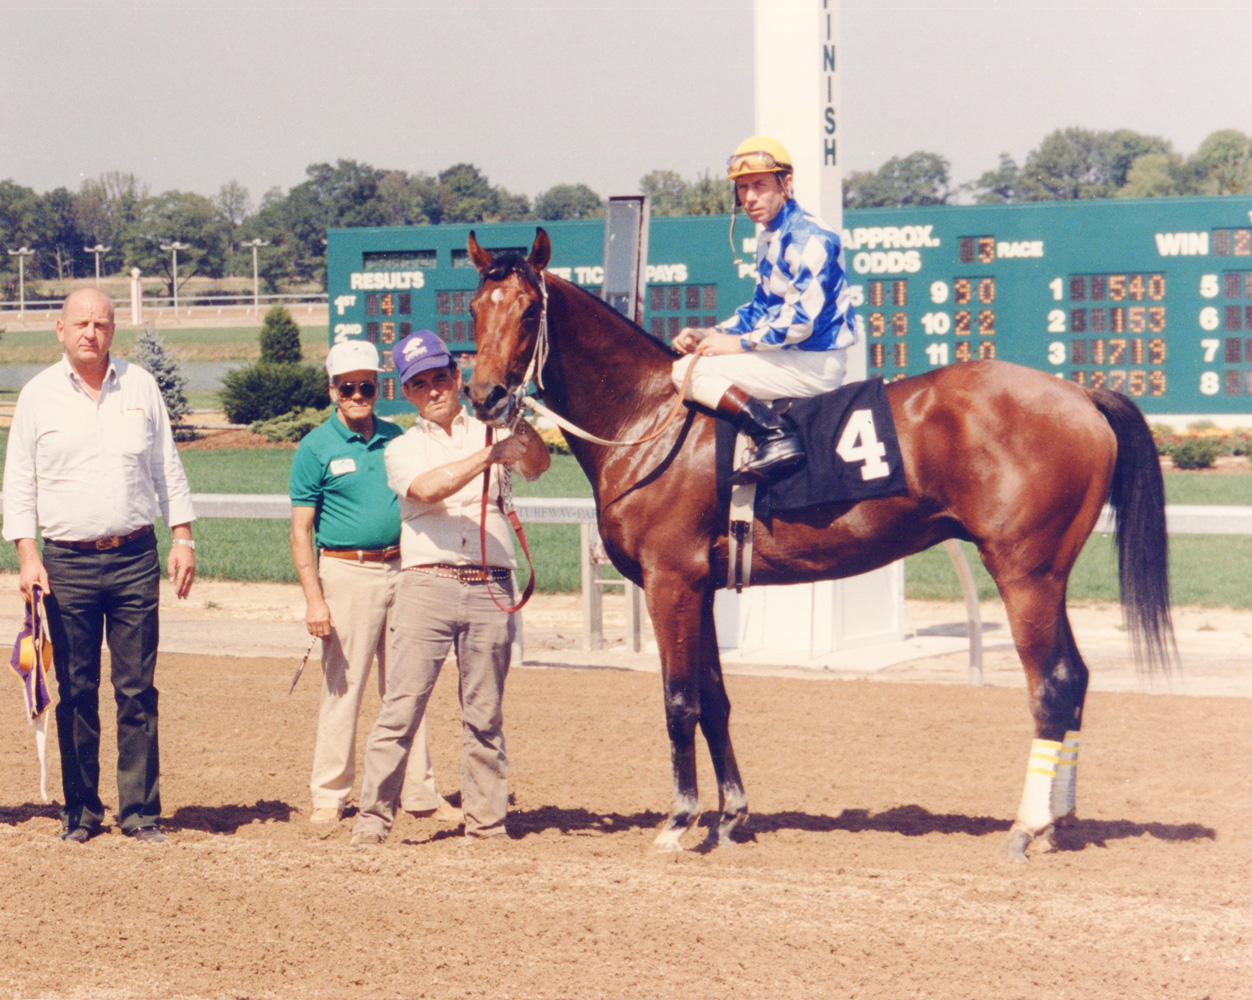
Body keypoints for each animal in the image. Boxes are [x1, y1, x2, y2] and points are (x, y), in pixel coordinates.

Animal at [463, 229, 1171, 861]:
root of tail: (1081, 393)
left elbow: (679, 700)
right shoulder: (705, 587)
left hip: (1024, 573)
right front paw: (731, 817)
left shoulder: (672, 582)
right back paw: (1057, 822)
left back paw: (1025, 829)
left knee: (1051, 685)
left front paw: (678, 822)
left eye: (528, 312)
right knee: (1076, 678)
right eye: (474, 308)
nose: (484, 396)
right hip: (1051, 576)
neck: (649, 418)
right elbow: (716, 700)